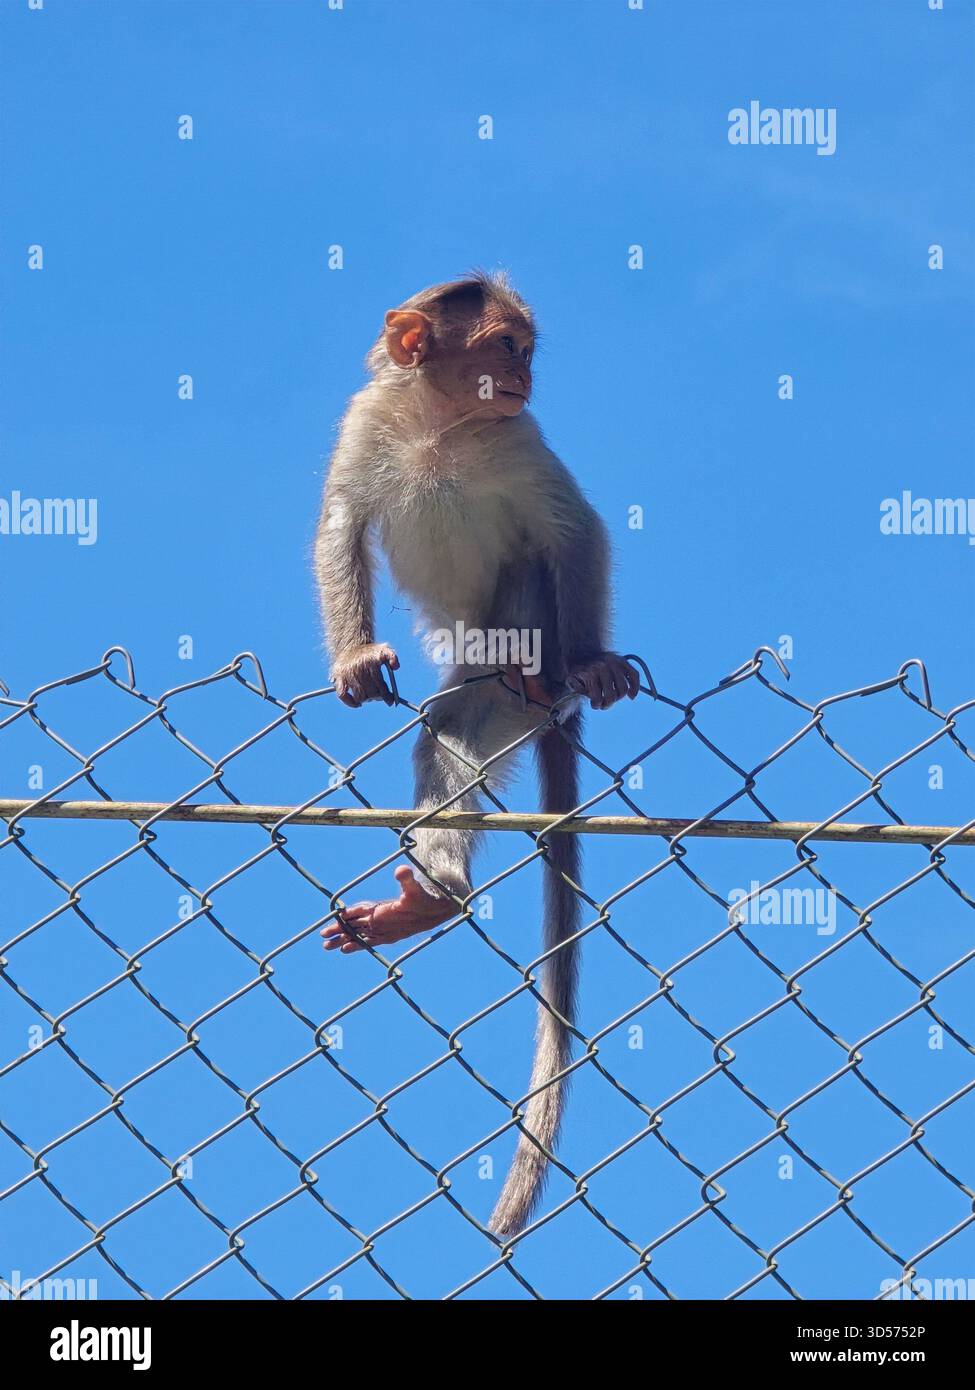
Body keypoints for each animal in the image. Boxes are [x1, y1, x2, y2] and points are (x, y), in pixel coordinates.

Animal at [314, 273, 639, 1237]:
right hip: (477, 679)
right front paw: (354, 657)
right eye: (505, 347)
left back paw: (555, 674)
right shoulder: (366, 419)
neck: (442, 427)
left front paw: (597, 659)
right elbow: (341, 525)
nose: (526, 377)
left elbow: (575, 533)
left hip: (519, 639)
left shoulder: (521, 443)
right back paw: (435, 895)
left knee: (531, 576)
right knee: (448, 727)